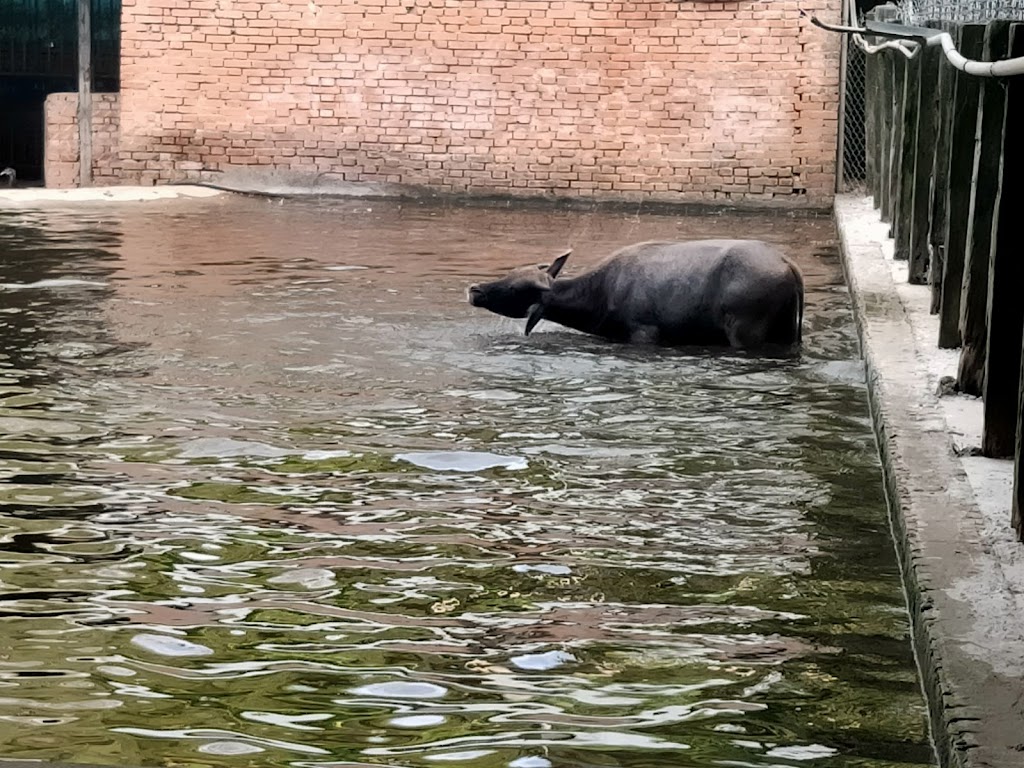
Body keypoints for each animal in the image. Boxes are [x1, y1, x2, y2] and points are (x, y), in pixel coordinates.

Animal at [468, 239, 802, 350]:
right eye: (511, 272)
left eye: (514, 288)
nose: (474, 289)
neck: (597, 299)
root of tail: (788, 264)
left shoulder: (645, 332)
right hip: (786, 331)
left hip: (745, 331)